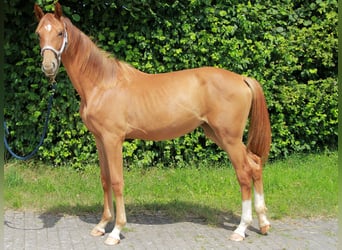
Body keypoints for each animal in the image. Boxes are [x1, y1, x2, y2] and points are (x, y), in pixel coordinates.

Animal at [34, 3, 270, 246]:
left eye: (60, 33)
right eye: (39, 34)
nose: (48, 66)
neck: (103, 84)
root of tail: (241, 78)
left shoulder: (113, 139)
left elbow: (117, 181)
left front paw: (116, 231)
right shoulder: (100, 139)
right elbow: (105, 179)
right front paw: (101, 225)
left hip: (229, 138)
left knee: (244, 174)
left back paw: (241, 229)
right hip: (217, 134)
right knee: (255, 164)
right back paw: (263, 223)